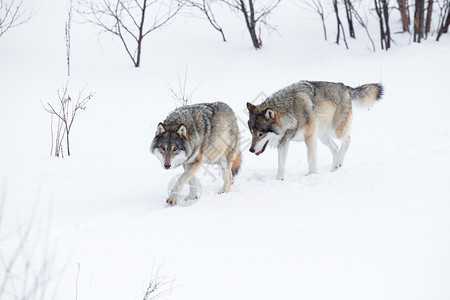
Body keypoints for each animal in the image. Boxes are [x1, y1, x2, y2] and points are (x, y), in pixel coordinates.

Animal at [246, 79, 384, 179]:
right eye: (252, 133)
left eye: (261, 134)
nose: (251, 150)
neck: (292, 112)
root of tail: (345, 87)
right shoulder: (284, 142)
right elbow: (280, 165)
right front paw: (279, 180)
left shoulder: (310, 137)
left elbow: (311, 160)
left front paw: (312, 176)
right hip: (323, 137)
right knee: (336, 148)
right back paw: (335, 168)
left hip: (335, 132)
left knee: (347, 139)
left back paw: (339, 163)